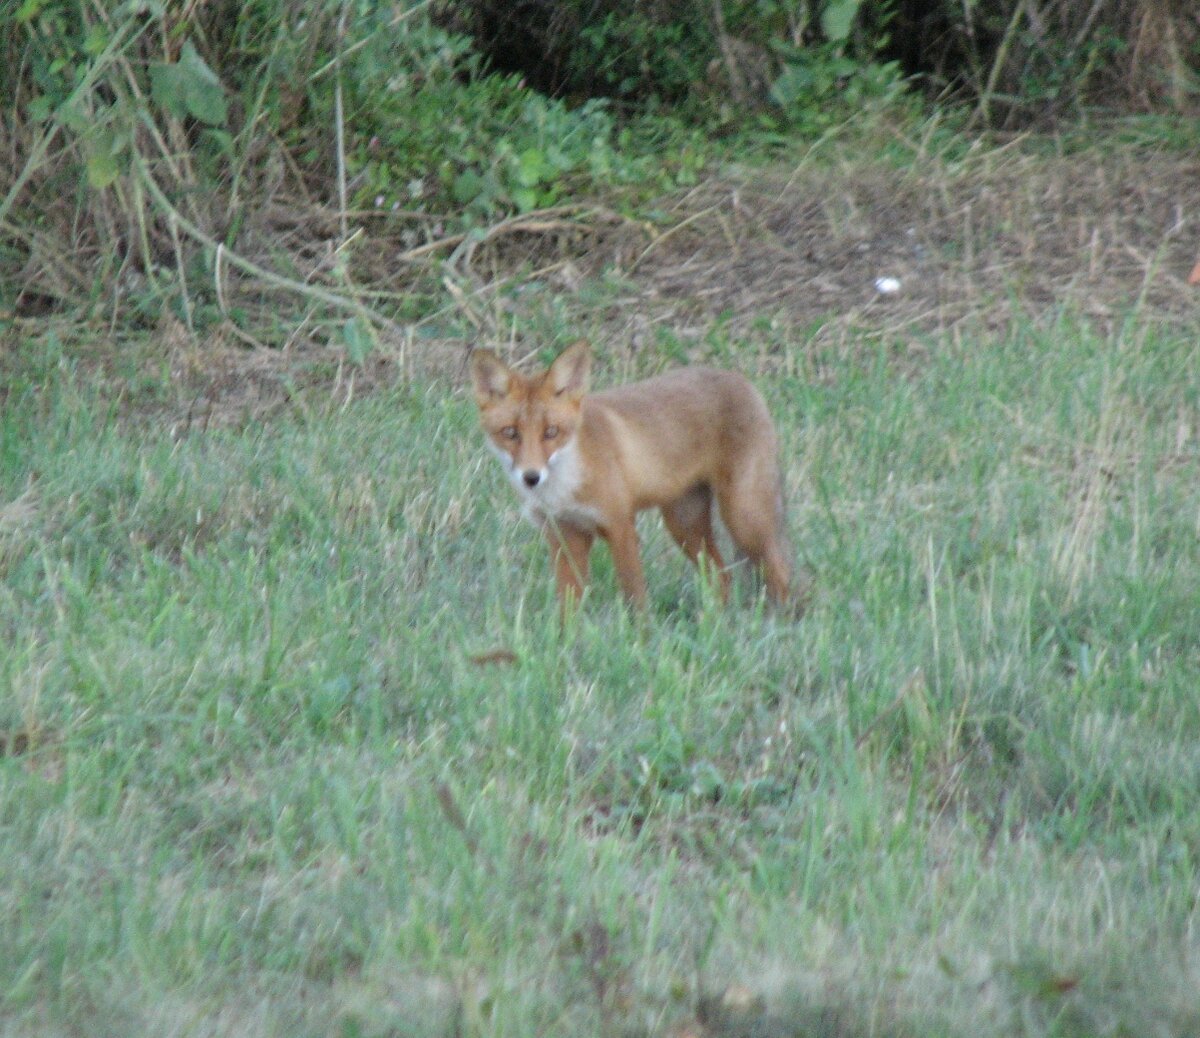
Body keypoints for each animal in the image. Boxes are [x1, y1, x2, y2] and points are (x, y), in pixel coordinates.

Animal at [470, 343, 796, 607]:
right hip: (684, 524)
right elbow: (569, 606)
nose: (531, 476)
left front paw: (642, 639)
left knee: (781, 574)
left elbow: (634, 596)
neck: (565, 488)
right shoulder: (565, 536)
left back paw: (781, 623)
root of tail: (741, 379)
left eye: (551, 432)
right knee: (721, 576)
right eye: (510, 433)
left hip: (744, 517)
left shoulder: (620, 526)